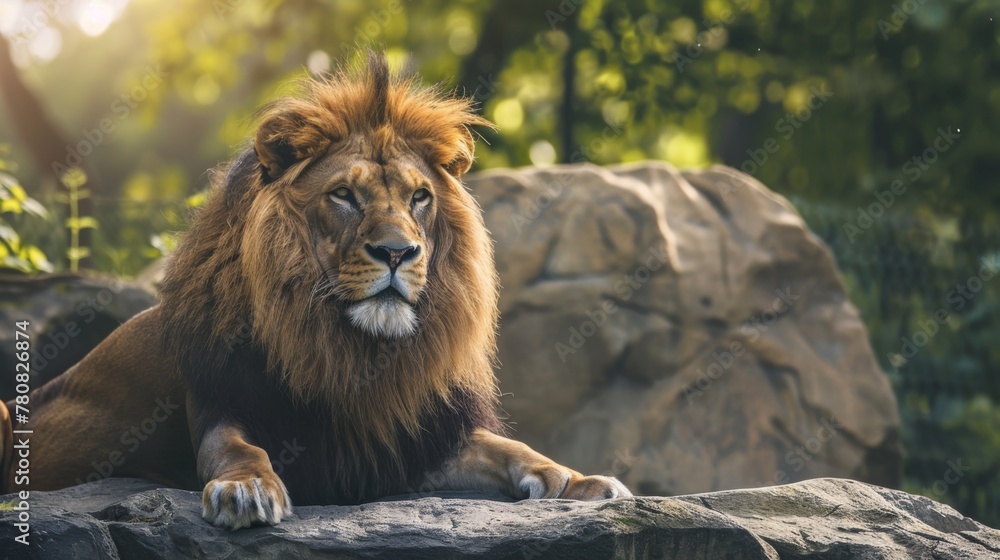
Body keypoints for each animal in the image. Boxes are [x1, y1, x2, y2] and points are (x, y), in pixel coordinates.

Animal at [0, 53, 630, 529]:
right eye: (344, 195)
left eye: (419, 197)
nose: (398, 252)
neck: (353, 350)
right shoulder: (221, 401)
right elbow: (235, 448)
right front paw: (247, 489)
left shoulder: (398, 440)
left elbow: (510, 448)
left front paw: (582, 481)